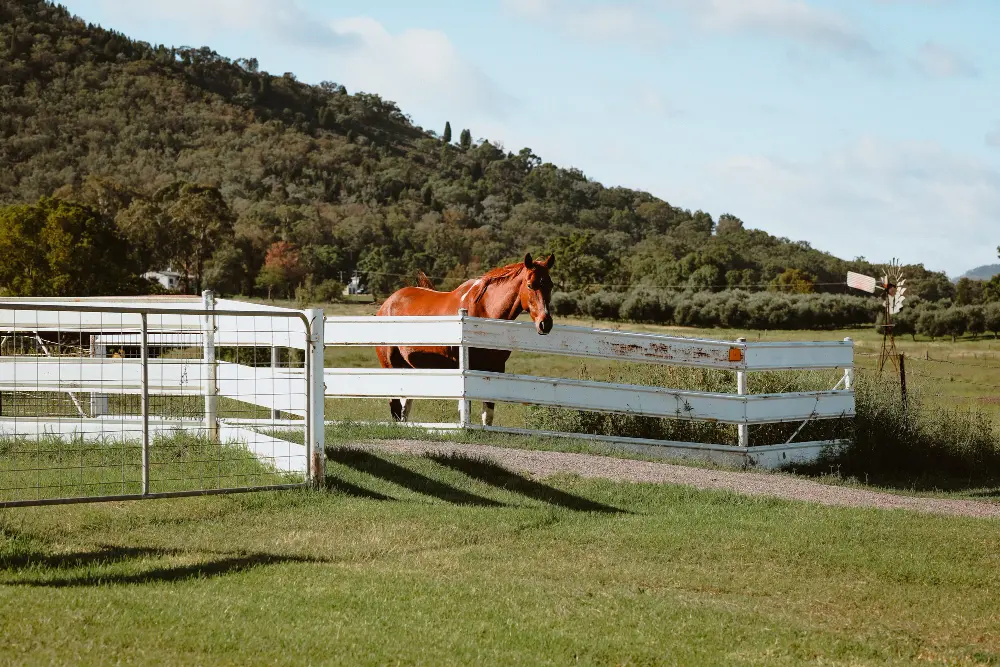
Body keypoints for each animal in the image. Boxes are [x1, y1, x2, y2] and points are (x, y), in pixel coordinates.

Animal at [375, 252, 556, 426]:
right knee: (395, 406)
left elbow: (488, 414)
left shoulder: (495, 367)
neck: (484, 312)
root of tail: (387, 304)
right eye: (530, 285)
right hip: (390, 366)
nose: (545, 323)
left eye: (550, 285)